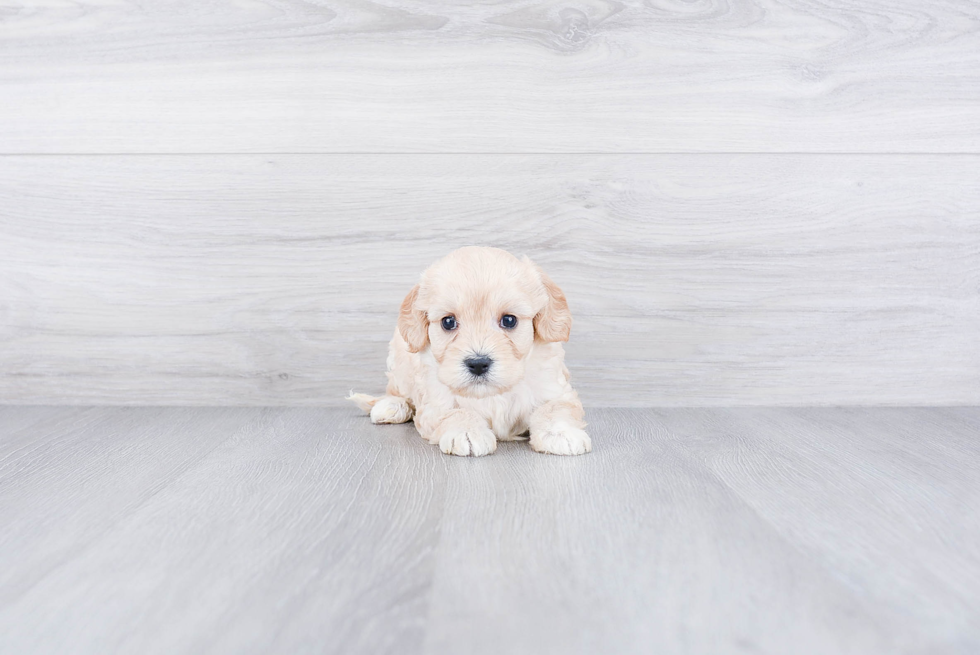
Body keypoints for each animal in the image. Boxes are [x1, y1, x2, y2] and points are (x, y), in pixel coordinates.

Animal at [348, 246, 588, 456]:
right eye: (448, 322)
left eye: (509, 320)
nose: (478, 364)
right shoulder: (434, 401)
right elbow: (454, 411)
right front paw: (466, 432)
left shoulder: (554, 387)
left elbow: (556, 407)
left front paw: (561, 433)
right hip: (399, 360)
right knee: (395, 390)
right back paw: (391, 406)